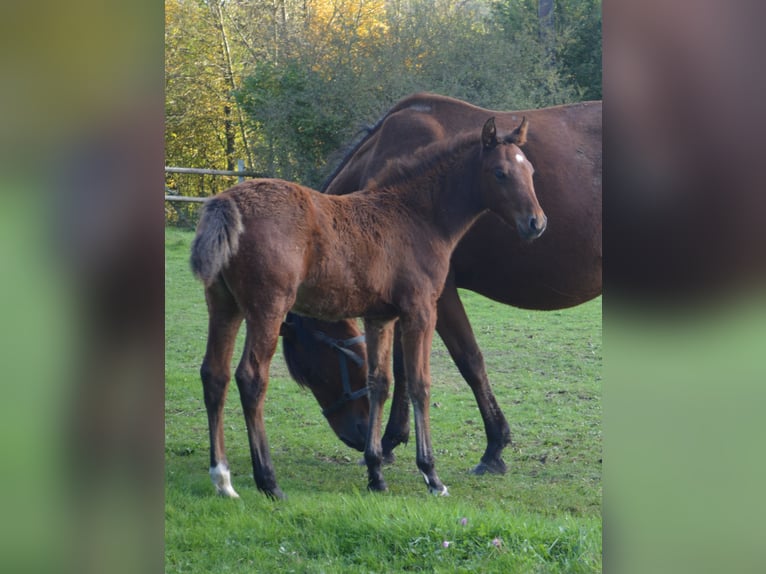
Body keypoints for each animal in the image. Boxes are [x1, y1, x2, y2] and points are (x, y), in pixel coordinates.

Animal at [190, 117, 544, 500]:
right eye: (500, 173)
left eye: (531, 171)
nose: (536, 223)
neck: (416, 216)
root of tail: (227, 202)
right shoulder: (421, 311)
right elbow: (419, 384)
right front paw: (431, 475)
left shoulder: (379, 317)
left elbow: (380, 383)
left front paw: (376, 473)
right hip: (267, 308)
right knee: (251, 378)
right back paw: (268, 482)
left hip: (223, 306)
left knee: (215, 374)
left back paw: (222, 479)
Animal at [284, 92, 604, 474]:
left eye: (313, 372)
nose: (356, 436)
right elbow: (402, 368)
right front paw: (392, 440)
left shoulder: (439, 295)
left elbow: (469, 360)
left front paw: (494, 446)